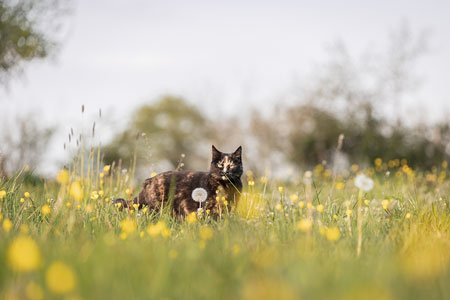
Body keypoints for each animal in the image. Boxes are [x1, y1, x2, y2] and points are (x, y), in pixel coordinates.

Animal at [114, 145, 244, 216]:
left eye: (231, 165)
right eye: (220, 165)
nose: (225, 172)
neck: (227, 185)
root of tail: (149, 180)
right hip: (158, 208)